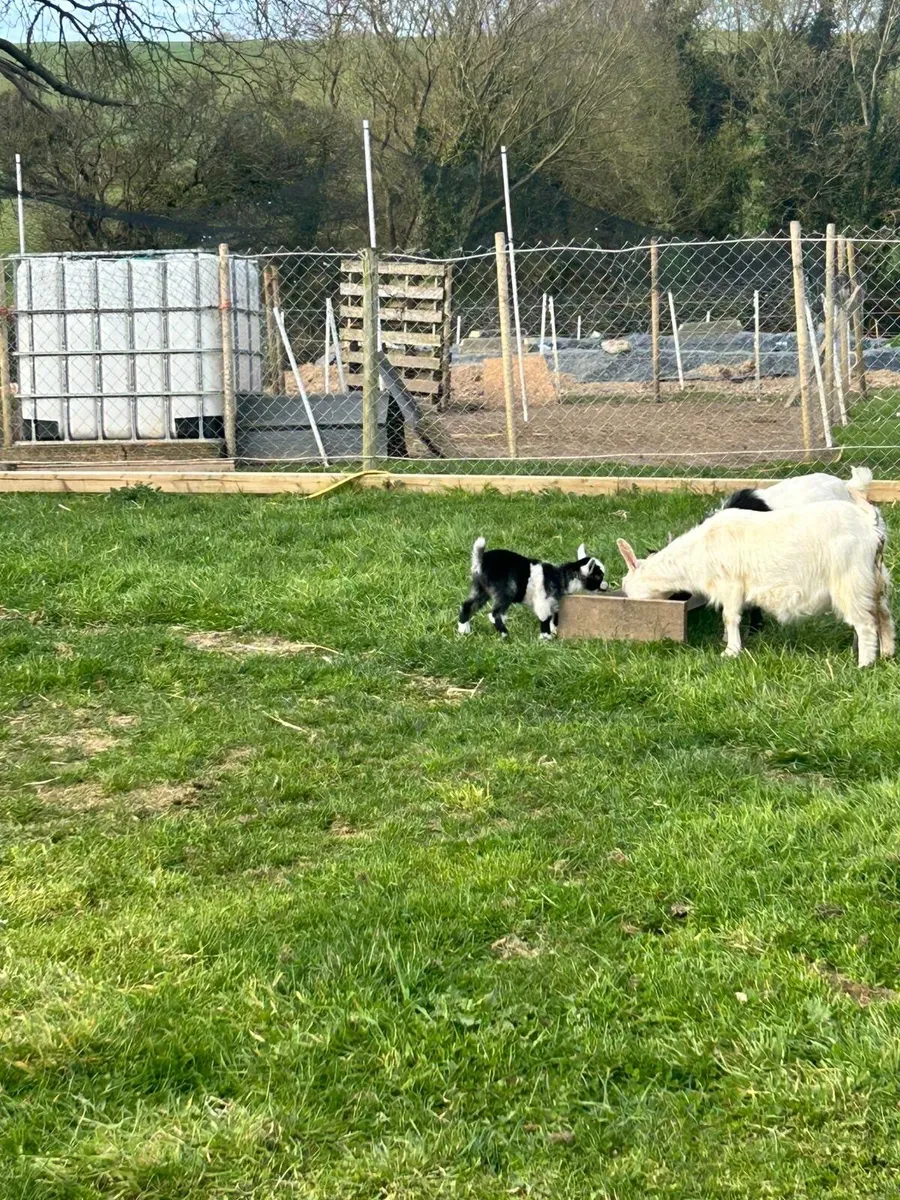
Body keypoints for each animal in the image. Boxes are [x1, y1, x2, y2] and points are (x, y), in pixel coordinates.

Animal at [617, 491, 893, 667]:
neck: (698, 551)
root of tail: (870, 527)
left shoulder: (731, 584)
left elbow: (730, 617)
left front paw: (730, 651)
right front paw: (728, 641)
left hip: (850, 580)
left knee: (866, 624)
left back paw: (864, 664)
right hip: (874, 581)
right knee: (883, 616)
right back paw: (886, 653)